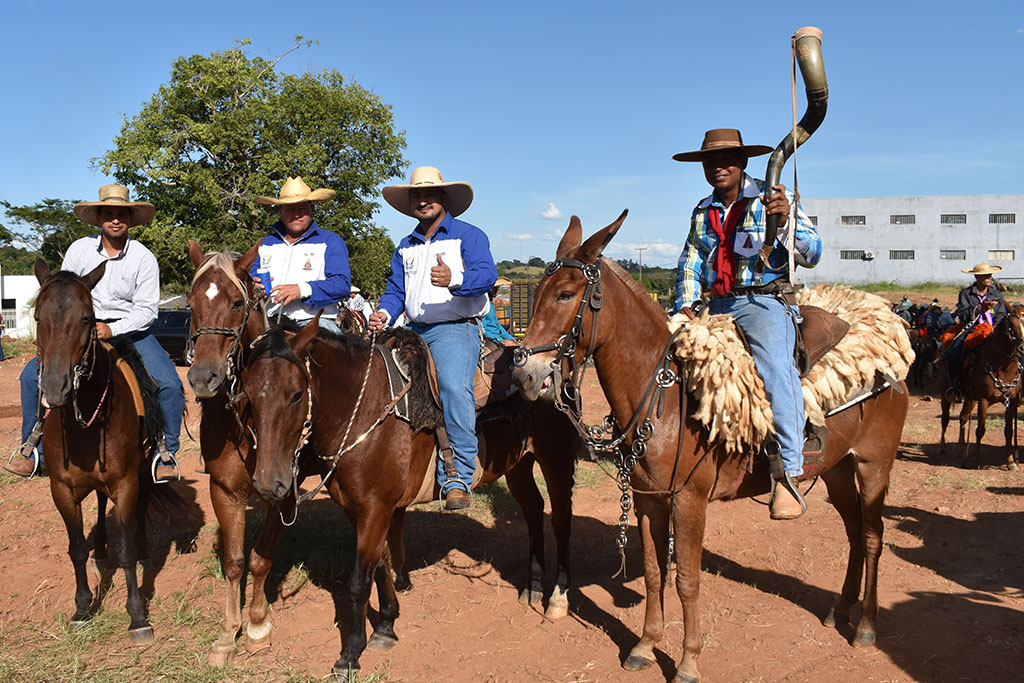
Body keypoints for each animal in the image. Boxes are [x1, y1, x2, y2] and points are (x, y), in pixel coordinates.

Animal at [32, 260, 167, 642]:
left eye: (86, 318)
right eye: (37, 316)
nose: (55, 388)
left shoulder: (125, 482)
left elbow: (127, 551)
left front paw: (137, 616)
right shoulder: (62, 489)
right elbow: (77, 549)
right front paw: (81, 609)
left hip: (140, 474)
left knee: (137, 512)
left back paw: (143, 554)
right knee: (100, 503)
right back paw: (101, 551)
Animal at [241, 314, 579, 678]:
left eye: (295, 395)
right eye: (248, 394)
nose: (268, 482)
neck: (363, 410)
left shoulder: (376, 508)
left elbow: (360, 580)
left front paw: (351, 654)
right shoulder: (361, 509)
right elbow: (381, 565)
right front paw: (387, 625)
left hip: (555, 460)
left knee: (561, 520)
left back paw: (557, 597)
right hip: (517, 464)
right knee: (533, 510)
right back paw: (533, 587)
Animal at [512, 212, 909, 683]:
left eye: (566, 294)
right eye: (536, 293)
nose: (525, 375)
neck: (666, 397)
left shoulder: (689, 501)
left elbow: (687, 580)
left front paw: (688, 662)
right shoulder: (649, 501)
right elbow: (654, 573)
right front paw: (645, 644)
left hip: (874, 465)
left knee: (872, 536)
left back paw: (865, 625)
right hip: (837, 470)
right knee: (853, 532)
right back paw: (840, 609)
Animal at [937, 311, 1023, 469]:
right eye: (1011, 325)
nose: (1022, 347)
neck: (1003, 369)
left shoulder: (1011, 402)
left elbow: (1009, 431)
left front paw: (1011, 462)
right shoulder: (984, 400)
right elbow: (980, 430)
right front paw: (976, 460)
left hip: (970, 399)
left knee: (963, 417)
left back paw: (961, 448)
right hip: (945, 393)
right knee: (945, 418)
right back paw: (943, 446)